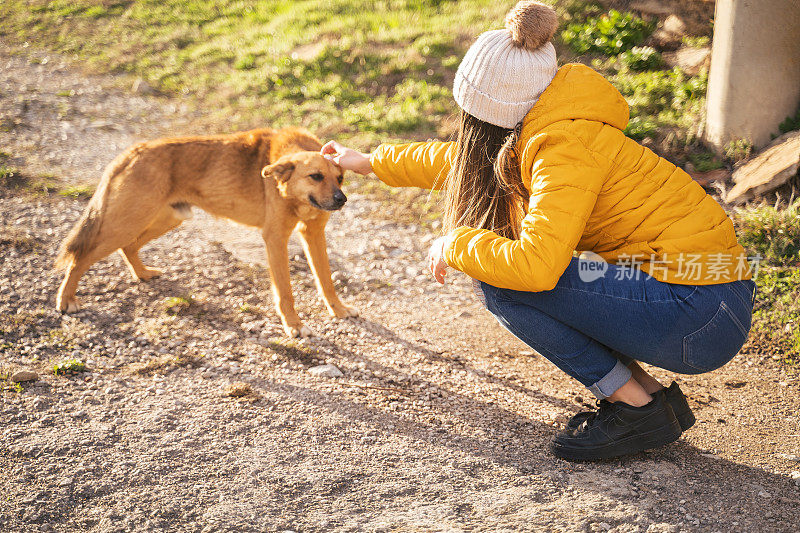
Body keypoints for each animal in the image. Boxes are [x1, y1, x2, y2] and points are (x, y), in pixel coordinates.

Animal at [54, 127, 354, 336]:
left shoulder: (314, 235)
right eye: (316, 176)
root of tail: (134, 150)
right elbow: (286, 291)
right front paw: (294, 325)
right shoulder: (276, 239)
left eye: (339, 178)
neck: (293, 194)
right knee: (81, 258)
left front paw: (338, 309)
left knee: (128, 247)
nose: (341, 200)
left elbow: (326, 280)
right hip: (127, 222)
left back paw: (143, 274)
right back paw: (66, 300)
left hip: (168, 218)